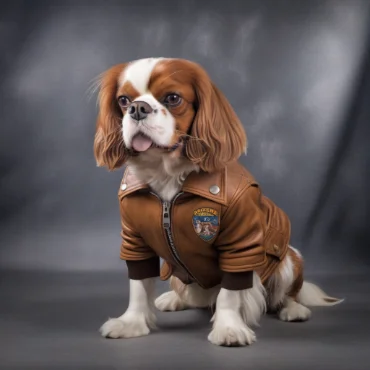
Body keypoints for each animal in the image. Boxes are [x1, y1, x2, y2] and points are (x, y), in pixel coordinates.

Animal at [92, 56, 342, 346]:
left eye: (173, 98)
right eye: (123, 100)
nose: (137, 108)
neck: (168, 175)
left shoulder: (240, 245)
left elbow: (229, 294)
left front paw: (229, 328)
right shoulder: (135, 241)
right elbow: (139, 285)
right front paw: (132, 322)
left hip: (290, 259)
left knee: (287, 294)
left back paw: (293, 310)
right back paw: (175, 299)